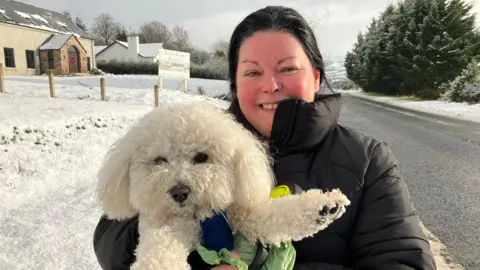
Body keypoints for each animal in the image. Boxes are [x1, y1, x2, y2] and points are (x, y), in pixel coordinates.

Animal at [95, 102, 350, 270]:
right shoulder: (165, 227)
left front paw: (324, 206)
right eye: (159, 160)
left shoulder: (239, 214)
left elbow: (271, 213)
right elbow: (159, 251)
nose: (179, 192)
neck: (200, 217)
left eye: (201, 157)